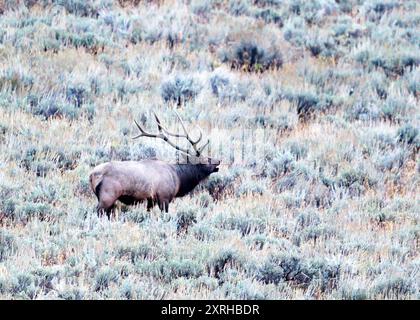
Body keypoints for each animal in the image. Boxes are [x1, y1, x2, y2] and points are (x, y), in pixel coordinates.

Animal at [88, 110, 220, 218]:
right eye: (205, 159)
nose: (218, 160)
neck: (178, 178)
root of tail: (92, 175)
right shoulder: (164, 197)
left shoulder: (150, 201)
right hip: (107, 196)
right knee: (98, 212)